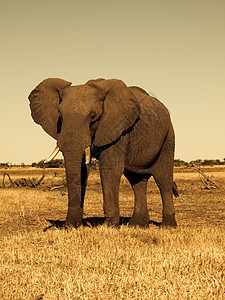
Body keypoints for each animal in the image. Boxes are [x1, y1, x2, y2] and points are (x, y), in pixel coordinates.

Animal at [28, 77, 178, 227]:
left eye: (93, 116)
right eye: (60, 116)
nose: (69, 225)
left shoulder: (118, 129)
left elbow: (109, 169)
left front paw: (110, 226)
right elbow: (82, 169)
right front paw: (74, 225)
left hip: (168, 137)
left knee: (163, 180)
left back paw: (168, 226)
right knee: (137, 182)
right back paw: (137, 224)